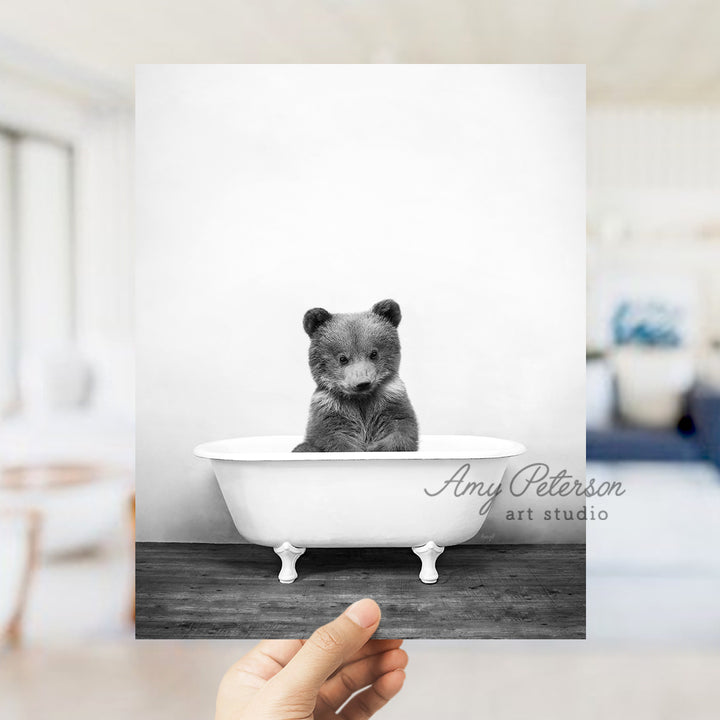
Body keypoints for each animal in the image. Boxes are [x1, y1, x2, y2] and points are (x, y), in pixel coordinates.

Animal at [292, 298, 420, 450]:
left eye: (373, 353)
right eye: (342, 358)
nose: (362, 383)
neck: (360, 399)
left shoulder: (390, 401)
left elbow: (402, 428)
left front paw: (375, 447)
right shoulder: (331, 410)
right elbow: (333, 438)